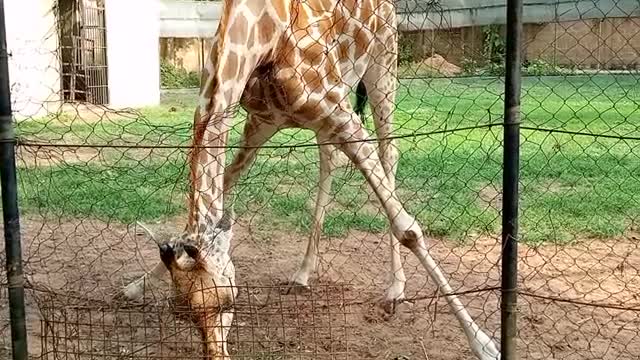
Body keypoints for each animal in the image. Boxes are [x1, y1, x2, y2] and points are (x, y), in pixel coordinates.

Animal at [119, 0, 500, 358]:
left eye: (229, 300)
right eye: (179, 311)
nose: (216, 354)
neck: (261, 33)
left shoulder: (339, 113)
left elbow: (407, 228)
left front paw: (483, 343)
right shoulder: (263, 121)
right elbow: (224, 186)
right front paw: (137, 285)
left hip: (382, 64)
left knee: (388, 153)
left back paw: (395, 290)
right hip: (332, 104)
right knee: (328, 158)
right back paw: (303, 273)